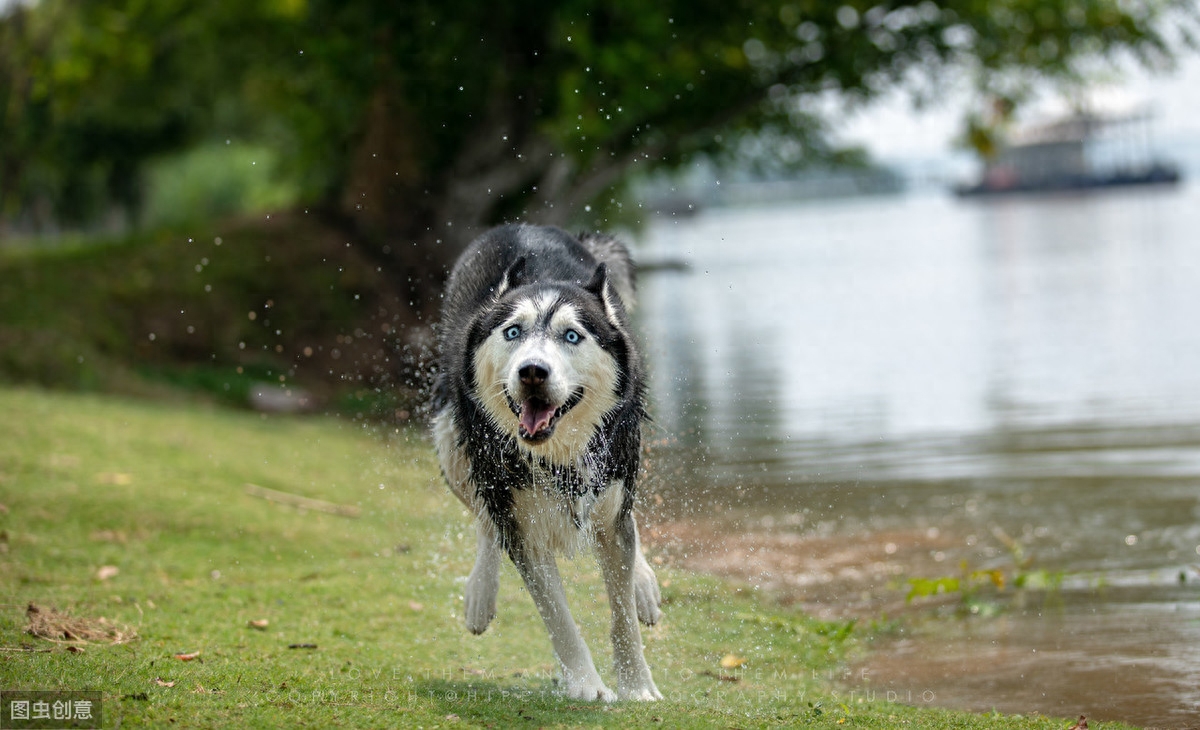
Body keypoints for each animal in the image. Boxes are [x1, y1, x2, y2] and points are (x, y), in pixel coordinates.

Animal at [432, 223, 662, 701]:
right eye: (513, 332)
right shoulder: (523, 525)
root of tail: (523, 225)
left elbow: (622, 614)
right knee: (484, 515)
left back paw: (644, 583)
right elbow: (558, 617)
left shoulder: (610, 497)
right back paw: (480, 594)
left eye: (572, 336)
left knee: (628, 520)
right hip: (449, 439)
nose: (532, 372)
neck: (558, 455)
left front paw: (636, 686)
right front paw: (586, 684)